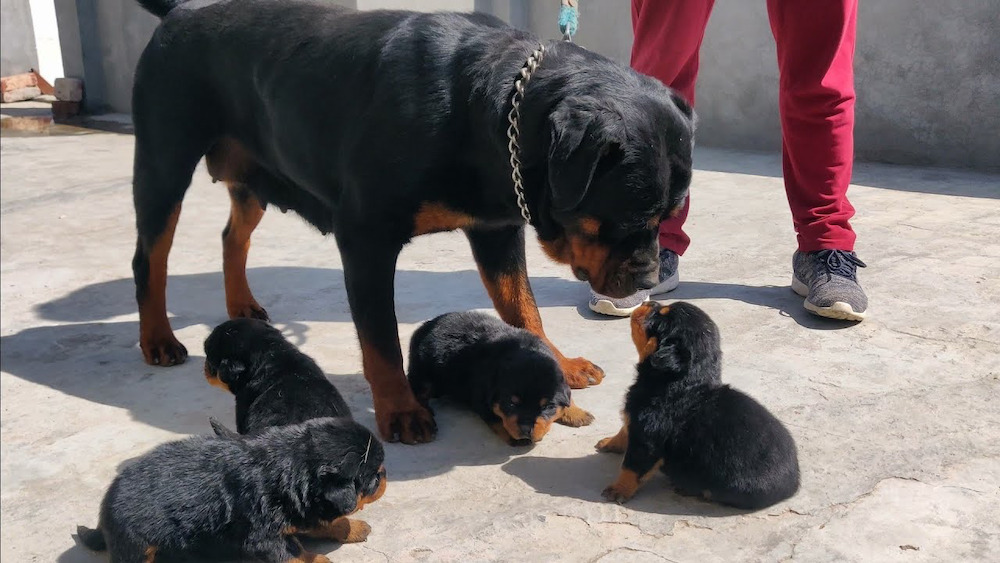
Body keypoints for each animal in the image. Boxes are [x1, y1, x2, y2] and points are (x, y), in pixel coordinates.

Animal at [74, 416, 384, 560]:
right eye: (373, 478)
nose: (385, 477)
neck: (288, 464)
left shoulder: (300, 507)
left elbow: (320, 521)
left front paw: (349, 526)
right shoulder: (262, 536)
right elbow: (292, 553)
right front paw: (317, 560)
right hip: (136, 545)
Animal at [406, 310, 592, 448]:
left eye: (547, 406)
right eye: (511, 403)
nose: (526, 429)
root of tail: (425, 325)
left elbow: (566, 396)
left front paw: (576, 412)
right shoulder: (480, 397)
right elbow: (496, 418)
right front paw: (516, 437)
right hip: (424, 371)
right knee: (417, 387)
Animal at [596, 304, 800, 512]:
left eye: (659, 316)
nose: (651, 303)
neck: (676, 381)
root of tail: (793, 485)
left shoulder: (647, 437)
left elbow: (631, 467)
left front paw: (618, 489)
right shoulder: (635, 422)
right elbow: (624, 430)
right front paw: (609, 442)